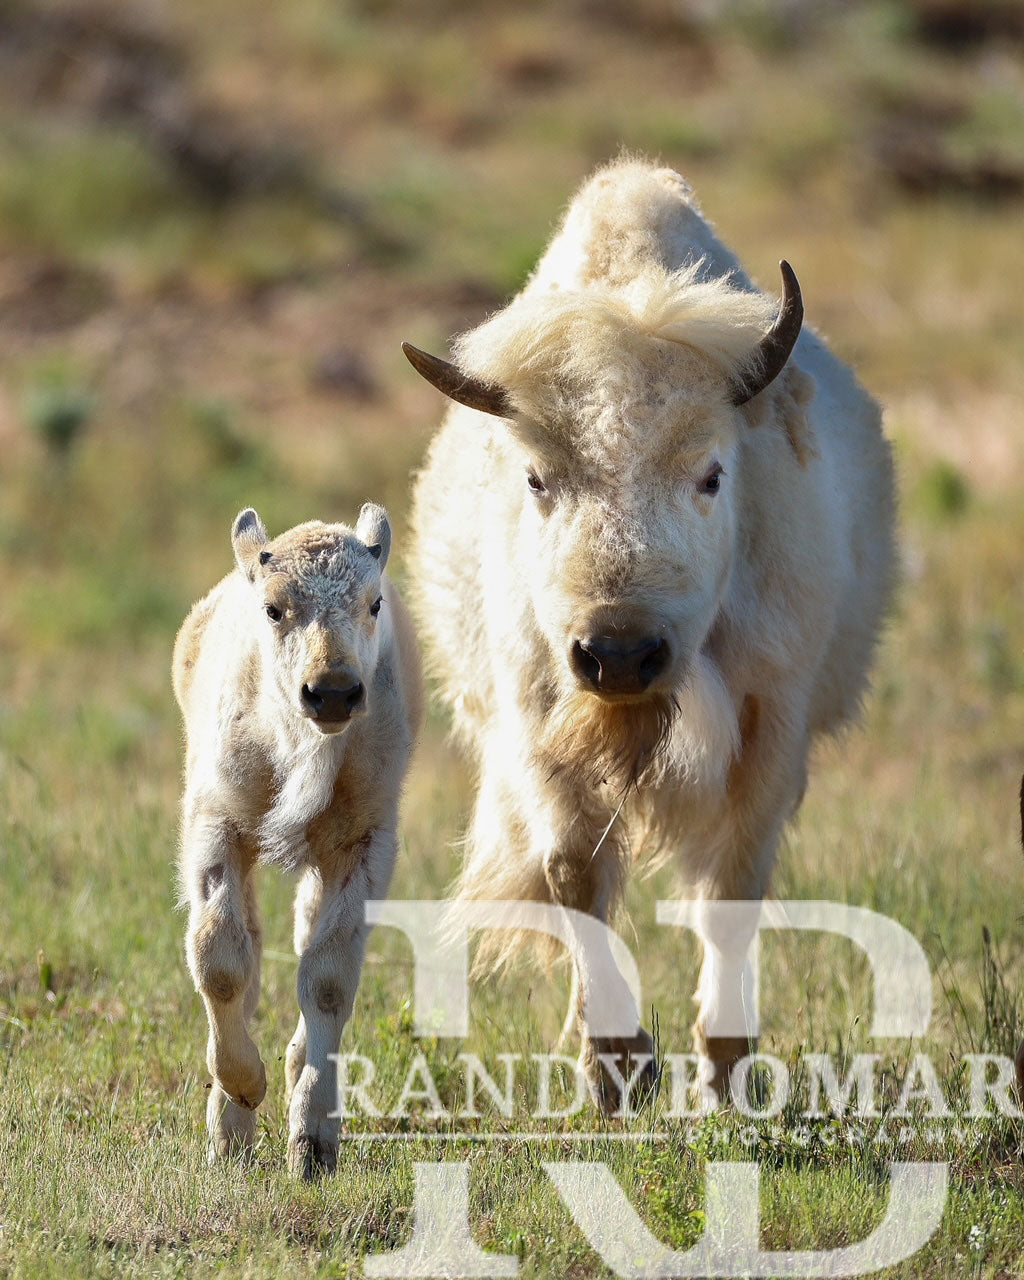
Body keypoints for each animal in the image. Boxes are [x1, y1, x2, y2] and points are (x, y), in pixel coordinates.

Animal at [174, 501, 422, 1177]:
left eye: (373, 603)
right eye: (273, 608)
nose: (332, 690)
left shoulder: (361, 847)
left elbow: (329, 978)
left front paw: (312, 1145)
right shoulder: (217, 826)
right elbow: (221, 958)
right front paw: (243, 1088)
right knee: (252, 951)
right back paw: (230, 1135)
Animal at [404, 157, 890, 1100]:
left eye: (711, 473)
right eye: (536, 477)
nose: (620, 654)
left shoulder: (771, 726)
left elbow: (732, 889)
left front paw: (722, 1075)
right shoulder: (537, 722)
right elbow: (575, 874)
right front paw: (617, 1067)